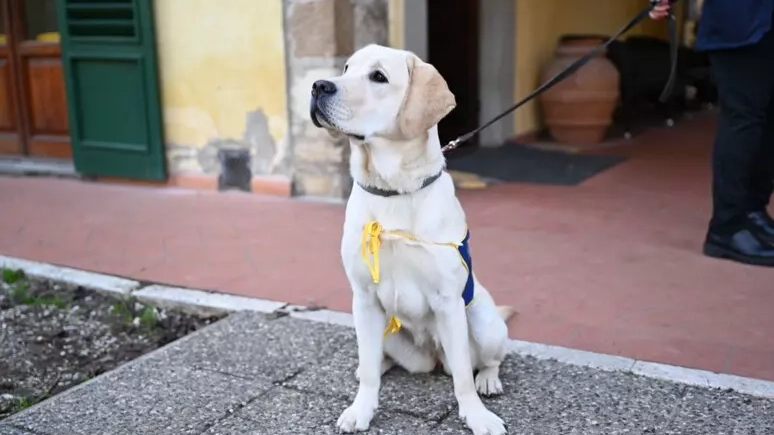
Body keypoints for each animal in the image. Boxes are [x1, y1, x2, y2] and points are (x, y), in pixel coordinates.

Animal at [310, 44, 516, 435]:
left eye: (378, 77)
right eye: (346, 68)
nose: (317, 86)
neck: (394, 190)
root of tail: (433, 355)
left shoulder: (449, 302)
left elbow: (463, 378)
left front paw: (477, 415)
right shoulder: (364, 299)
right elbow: (369, 371)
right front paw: (361, 409)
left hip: (483, 323)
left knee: (485, 361)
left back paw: (489, 380)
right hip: (389, 333)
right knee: (378, 359)